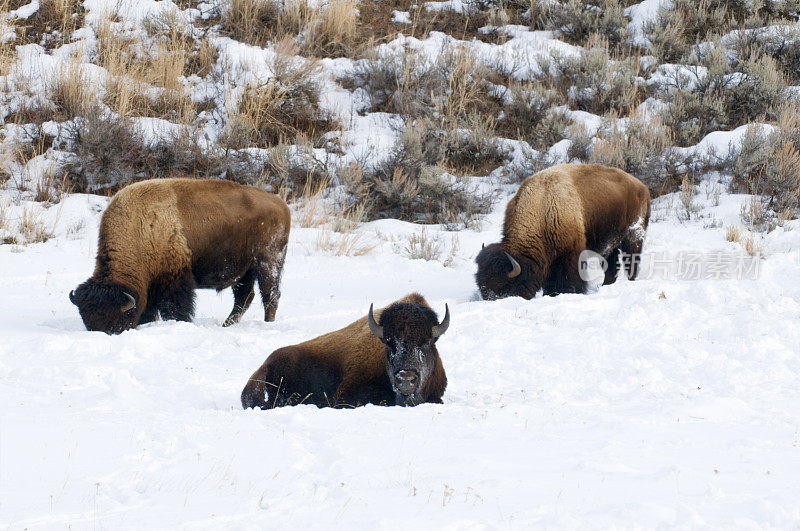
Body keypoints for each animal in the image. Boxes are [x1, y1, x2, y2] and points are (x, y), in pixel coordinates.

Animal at [69, 180, 290, 336]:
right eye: (86, 320)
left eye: (115, 321)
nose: (100, 334)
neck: (139, 229)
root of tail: (281, 204)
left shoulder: (174, 281)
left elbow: (175, 308)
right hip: (244, 270)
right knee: (245, 297)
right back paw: (227, 325)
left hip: (268, 262)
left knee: (270, 296)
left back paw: (267, 324)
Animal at [476, 163, 648, 300]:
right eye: (480, 283)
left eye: (505, 286)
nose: (489, 299)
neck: (542, 205)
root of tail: (642, 187)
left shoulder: (571, 252)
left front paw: (570, 292)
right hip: (610, 242)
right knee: (612, 265)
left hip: (634, 236)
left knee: (632, 261)